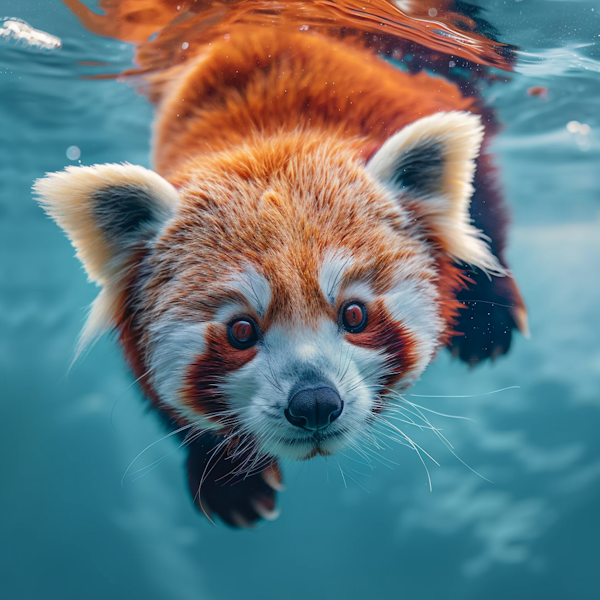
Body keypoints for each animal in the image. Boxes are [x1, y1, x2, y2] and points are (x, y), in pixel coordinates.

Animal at [36, 0, 524, 528]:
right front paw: (228, 476)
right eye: (241, 331)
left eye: (355, 314)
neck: (267, 134)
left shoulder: (413, 102)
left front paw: (485, 315)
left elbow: (479, 212)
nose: (314, 403)